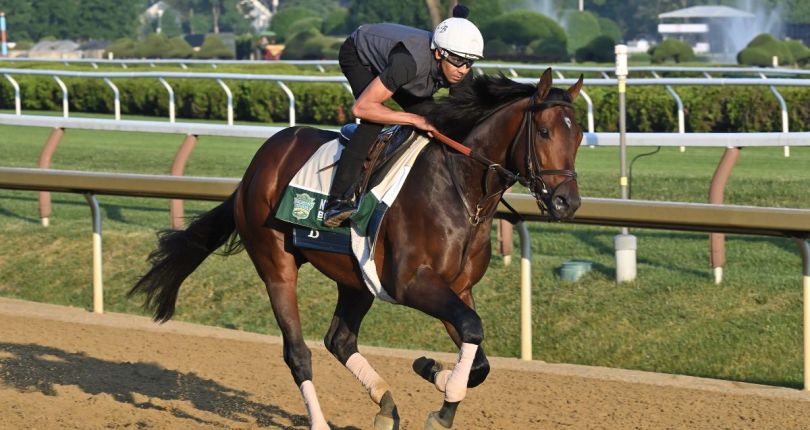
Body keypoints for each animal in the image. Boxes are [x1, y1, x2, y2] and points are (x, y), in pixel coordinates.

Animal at [131, 69, 580, 428]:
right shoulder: (412, 284)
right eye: (544, 132)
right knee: (298, 352)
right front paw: (440, 398)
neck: (462, 192)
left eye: (577, 135)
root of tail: (255, 167)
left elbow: (480, 357)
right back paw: (320, 422)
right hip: (276, 265)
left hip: (356, 278)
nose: (567, 202)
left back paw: (385, 406)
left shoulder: (458, 288)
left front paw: (432, 371)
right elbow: (472, 329)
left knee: (340, 340)